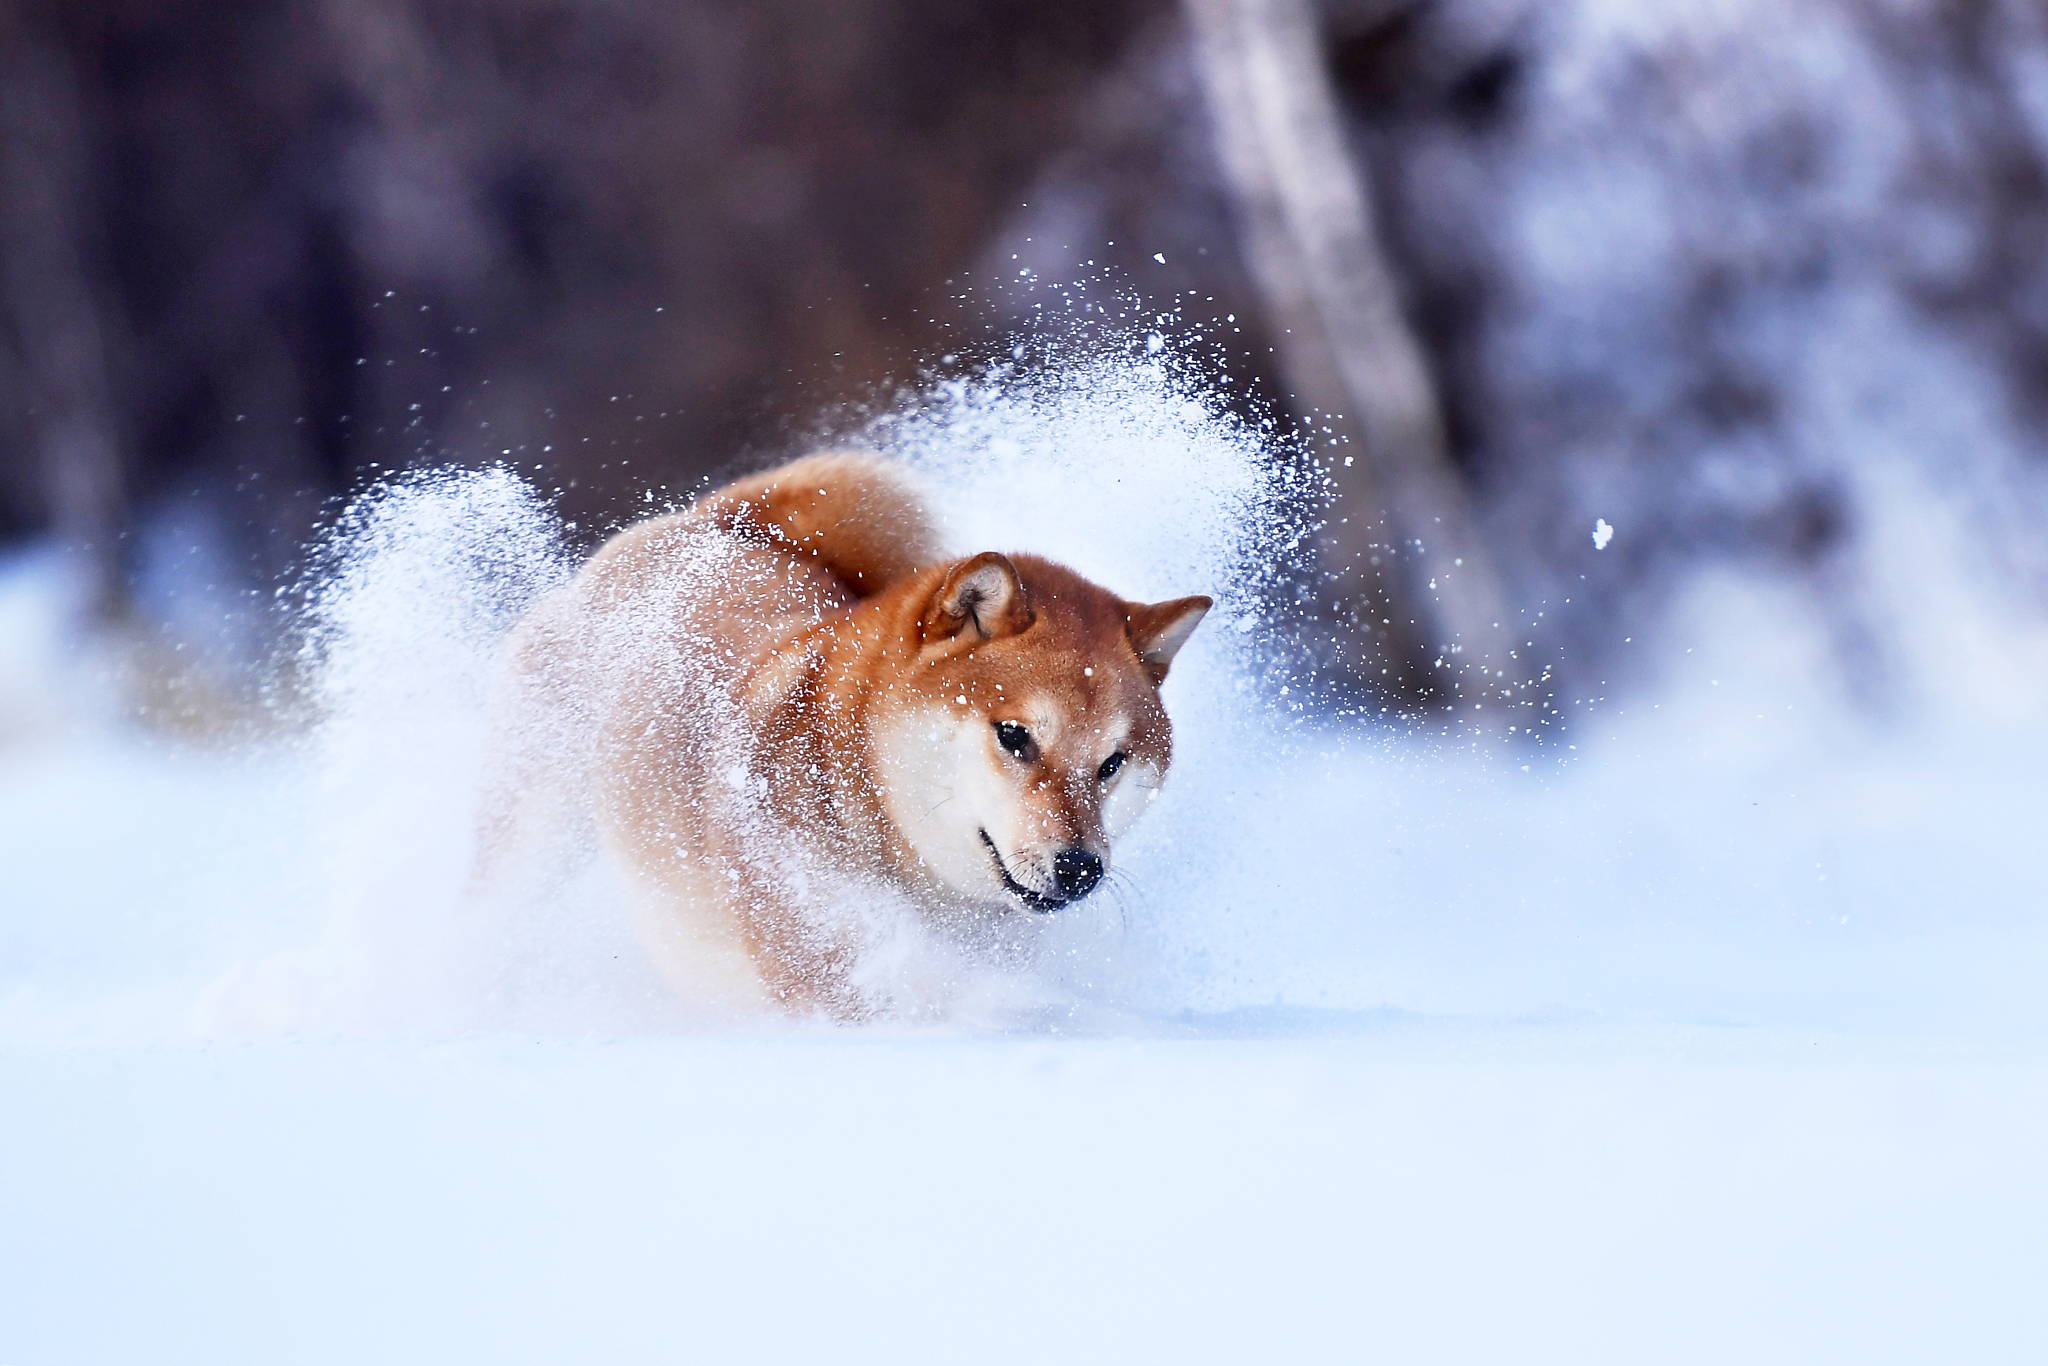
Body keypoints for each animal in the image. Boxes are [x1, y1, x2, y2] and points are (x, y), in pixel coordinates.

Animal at [481, 454, 1204, 1019]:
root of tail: (720, 522)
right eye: (1014, 735)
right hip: (534, 842)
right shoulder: (835, 963)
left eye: (1112, 762)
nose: (1082, 868)